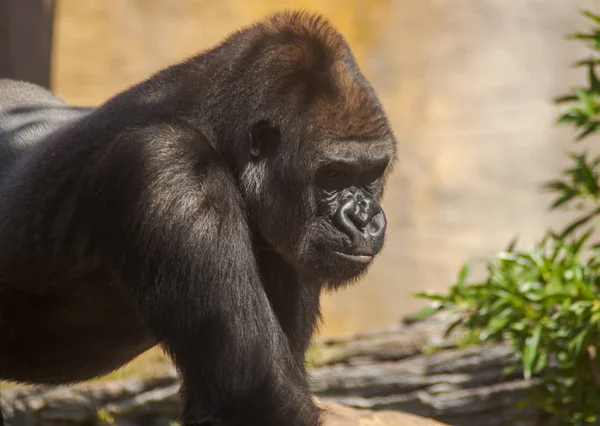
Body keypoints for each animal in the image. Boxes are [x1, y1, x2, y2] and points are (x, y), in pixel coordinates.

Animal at [0, 10, 398, 426]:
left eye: (370, 173)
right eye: (332, 175)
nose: (364, 219)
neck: (215, 130)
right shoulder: (174, 173)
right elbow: (255, 393)